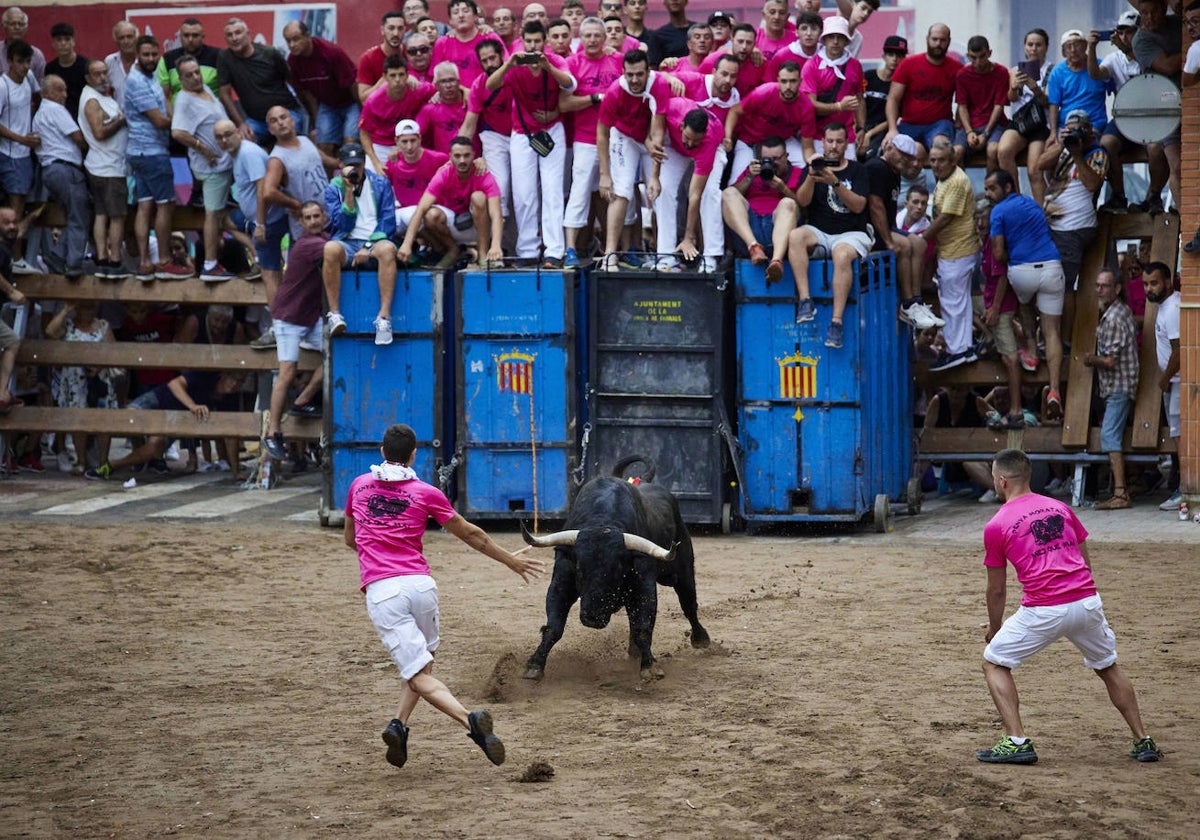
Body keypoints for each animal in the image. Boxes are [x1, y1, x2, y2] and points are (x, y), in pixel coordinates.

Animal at [520, 472, 705, 681]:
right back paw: (634, 651)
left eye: (617, 569)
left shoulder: (644, 585)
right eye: (579, 568)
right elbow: (553, 627)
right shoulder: (561, 581)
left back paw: (701, 639)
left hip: (683, 570)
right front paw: (535, 665)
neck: (603, 521)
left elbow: (643, 626)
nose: (593, 618)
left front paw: (649, 666)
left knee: (689, 605)